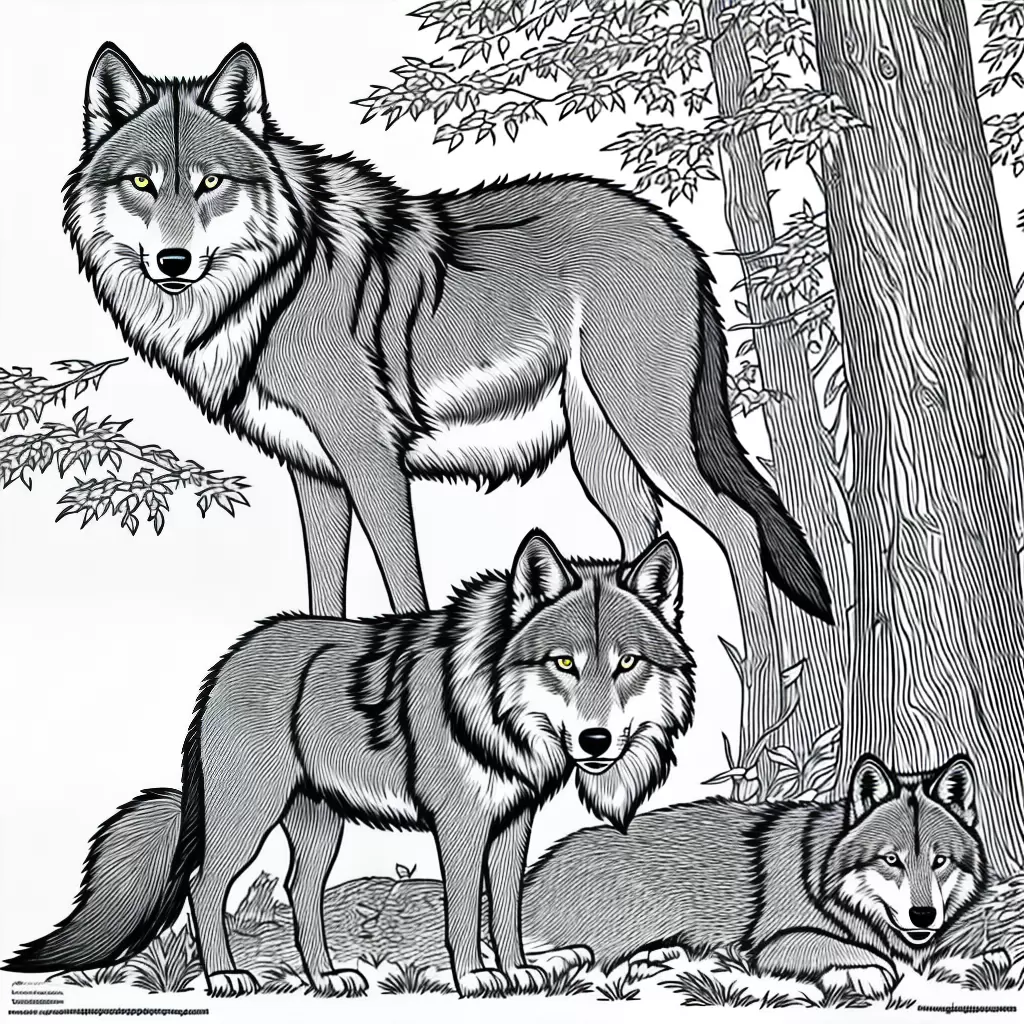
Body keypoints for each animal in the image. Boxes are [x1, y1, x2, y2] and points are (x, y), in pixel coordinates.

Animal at [4, 530, 695, 998]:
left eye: (627, 663)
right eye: (564, 663)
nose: (597, 741)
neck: (495, 711)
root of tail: (231, 657)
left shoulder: (512, 825)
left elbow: (506, 909)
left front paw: (521, 969)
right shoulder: (461, 828)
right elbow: (464, 911)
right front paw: (475, 979)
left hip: (320, 826)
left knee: (298, 890)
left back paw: (325, 977)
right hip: (247, 820)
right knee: (206, 887)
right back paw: (226, 975)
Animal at [65, 41, 832, 627]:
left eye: (210, 183)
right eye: (141, 182)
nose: (173, 262)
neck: (273, 283)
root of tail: (677, 235)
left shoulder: (371, 463)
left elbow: (406, 592)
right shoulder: (315, 476)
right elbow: (323, 600)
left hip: (651, 436)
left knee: (739, 528)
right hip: (600, 453)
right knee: (646, 542)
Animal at [521, 754, 985, 996]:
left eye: (940, 861)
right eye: (891, 860)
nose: (924, 916)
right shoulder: (772, 942)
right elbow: (846, 948)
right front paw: (864, 971)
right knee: (594, 957)